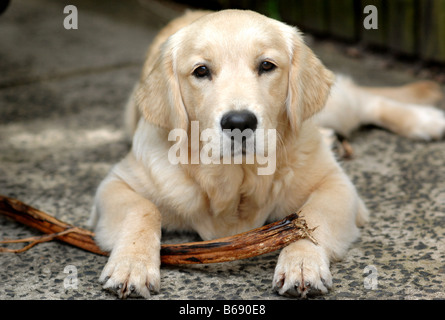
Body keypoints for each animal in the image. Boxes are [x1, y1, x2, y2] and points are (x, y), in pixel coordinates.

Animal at [90, 10, 444, 300]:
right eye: (201, 71)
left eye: (266, 66)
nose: (239, 123)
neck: (237, 177)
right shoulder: (117, 183)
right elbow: (143, 210)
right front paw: (131, 265)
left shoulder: (337, 185)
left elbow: (310, 216)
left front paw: (302, 263)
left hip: (334, 107)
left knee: (366, 100)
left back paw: (426, 120)